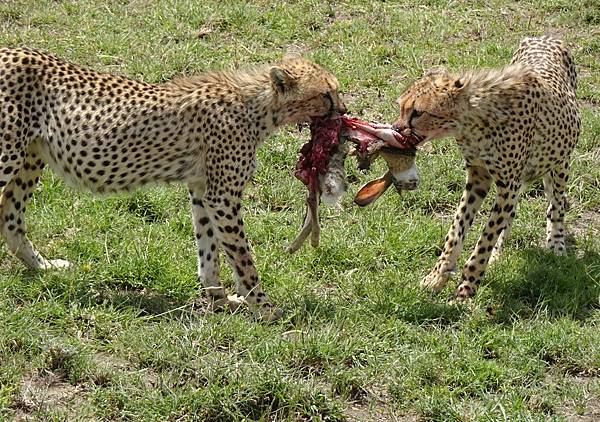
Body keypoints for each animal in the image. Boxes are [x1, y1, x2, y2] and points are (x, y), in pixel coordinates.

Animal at [0, 48, 346, 320]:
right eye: (326, 94)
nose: (344, 111)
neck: (257, 106)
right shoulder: (223, 195)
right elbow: (242, 257)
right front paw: (264, 307)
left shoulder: (202, 189)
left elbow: (209, 250)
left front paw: (218, 300)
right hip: (8, 156)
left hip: (30, 157)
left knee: (11, 217)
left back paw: (43, 267)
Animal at [392, 37, 580, 300]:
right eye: (401, 107)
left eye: (417, 112)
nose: (396, 129)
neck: (472, 120)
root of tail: (547, 36)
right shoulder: (478, 177)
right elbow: (457, 229)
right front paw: (437, 276)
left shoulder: (507, 184)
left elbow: (486, 235)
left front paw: (467, 286)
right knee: (514, 213)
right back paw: (499, 253)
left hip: (560, 164)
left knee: (556, 205)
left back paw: (556, 245)